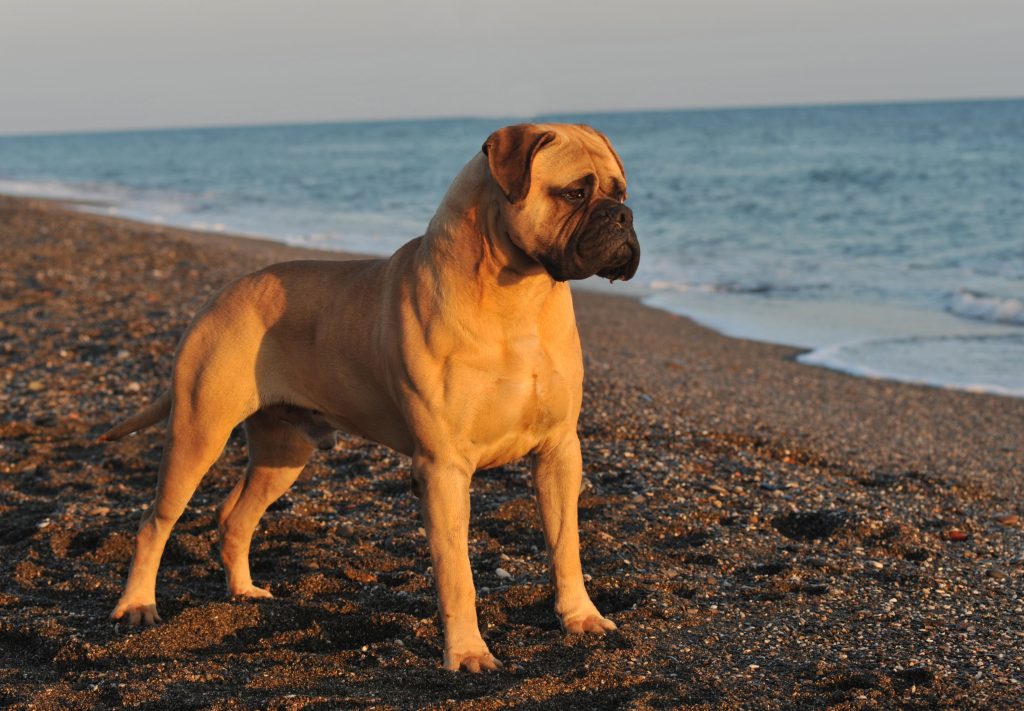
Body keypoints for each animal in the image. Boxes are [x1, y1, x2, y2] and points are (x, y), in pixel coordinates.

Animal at [103, 123, 643, 672]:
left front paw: (580, 616)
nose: (625, 217)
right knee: (154, 522)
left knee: (234, 517)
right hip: (198, 434)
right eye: (574, 193)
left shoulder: (559, 451)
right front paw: (467, 651)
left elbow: (565, 546)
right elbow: (457, 573)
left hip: (284, 452)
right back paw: (137, 605)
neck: (517, 296)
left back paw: (244, 593)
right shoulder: (443, 468)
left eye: (620, 193)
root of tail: (219, 297)